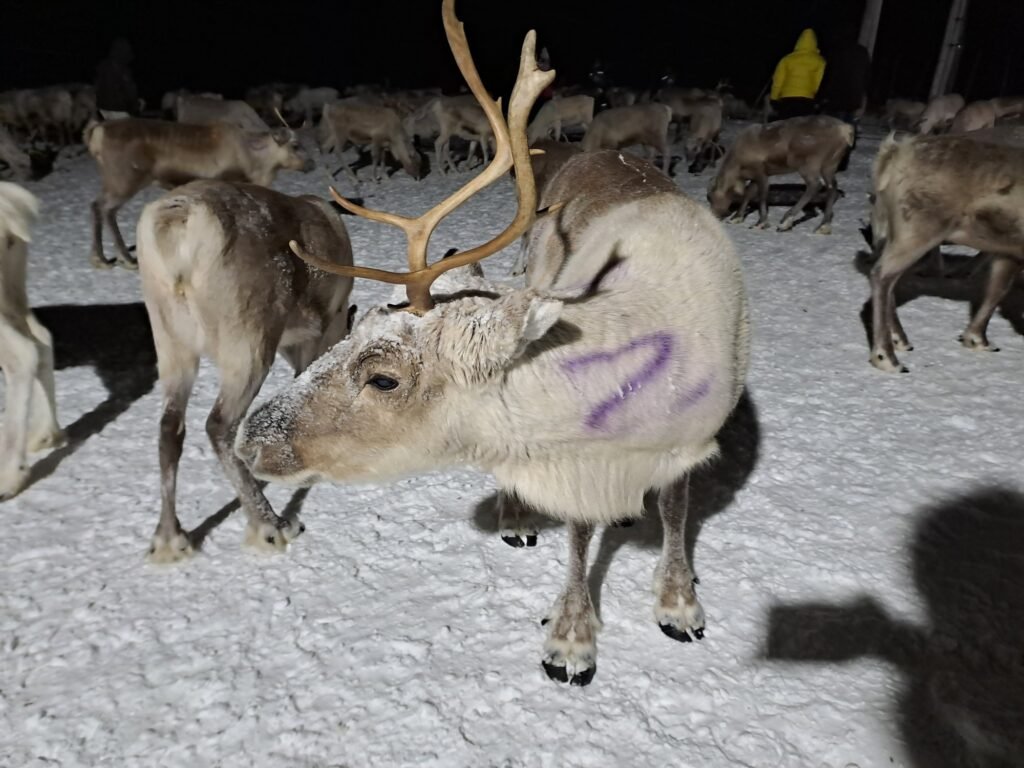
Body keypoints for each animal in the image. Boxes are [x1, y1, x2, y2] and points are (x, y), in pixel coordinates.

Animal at [85, 116, 314, 269]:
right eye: (295, 145)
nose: (312, 163)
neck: (256, 164)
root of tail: (97, 133)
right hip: (124, 180)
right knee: (103, 207)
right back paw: (117, 258)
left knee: (100, 207)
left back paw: (107, 258)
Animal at [136, 179, 355, 562]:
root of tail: (179, 221)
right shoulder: (323, 327)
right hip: (248, 341)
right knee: (219, 425)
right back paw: (271, 526)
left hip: (170, 340)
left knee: (169, 427)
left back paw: (169, 540)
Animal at [235, 0, 750, 687]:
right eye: (354, 325)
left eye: (384, 376)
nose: (250, 439)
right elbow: (577, 535)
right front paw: (571, 638)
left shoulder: (692, 440)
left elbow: (675, 510)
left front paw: (679, 602)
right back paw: (516, 516)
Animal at [707, 115, 853, 234]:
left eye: (711, 197)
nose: (713, 215)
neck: (737, 167)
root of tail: (845, 130)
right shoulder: (755, 176)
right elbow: (748, 193)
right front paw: (737, 217)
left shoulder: (761, 172)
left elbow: (762, 196)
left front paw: (761, 223)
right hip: (830, 164)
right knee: (832, 187)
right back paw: (823, 226)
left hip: (809, 164)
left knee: (814, 185)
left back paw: (786, 221)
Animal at [866, 131, 1024, 372]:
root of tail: (894, 153)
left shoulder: (1008, 251)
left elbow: (997, 289)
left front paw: (976, 339)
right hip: (918, 230)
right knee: (882, 274)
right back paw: (887, 357)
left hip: (895, 233)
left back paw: (899, 340)